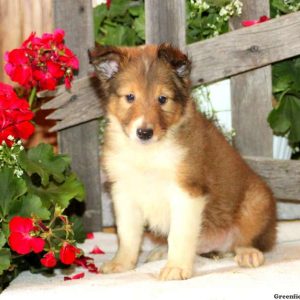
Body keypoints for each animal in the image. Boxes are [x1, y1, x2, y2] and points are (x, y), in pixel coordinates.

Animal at [88, 43, 276, 280]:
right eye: (130, 97)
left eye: (162, 99)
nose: (144, 132)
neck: (148, 153)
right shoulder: (123, 192)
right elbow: (127, 235)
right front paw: (121, 264)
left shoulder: (187, 192)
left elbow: (180, 234)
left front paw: (176, 267)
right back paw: (161, 251)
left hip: (256, 202)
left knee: (246, 240)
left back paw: (248, 254)